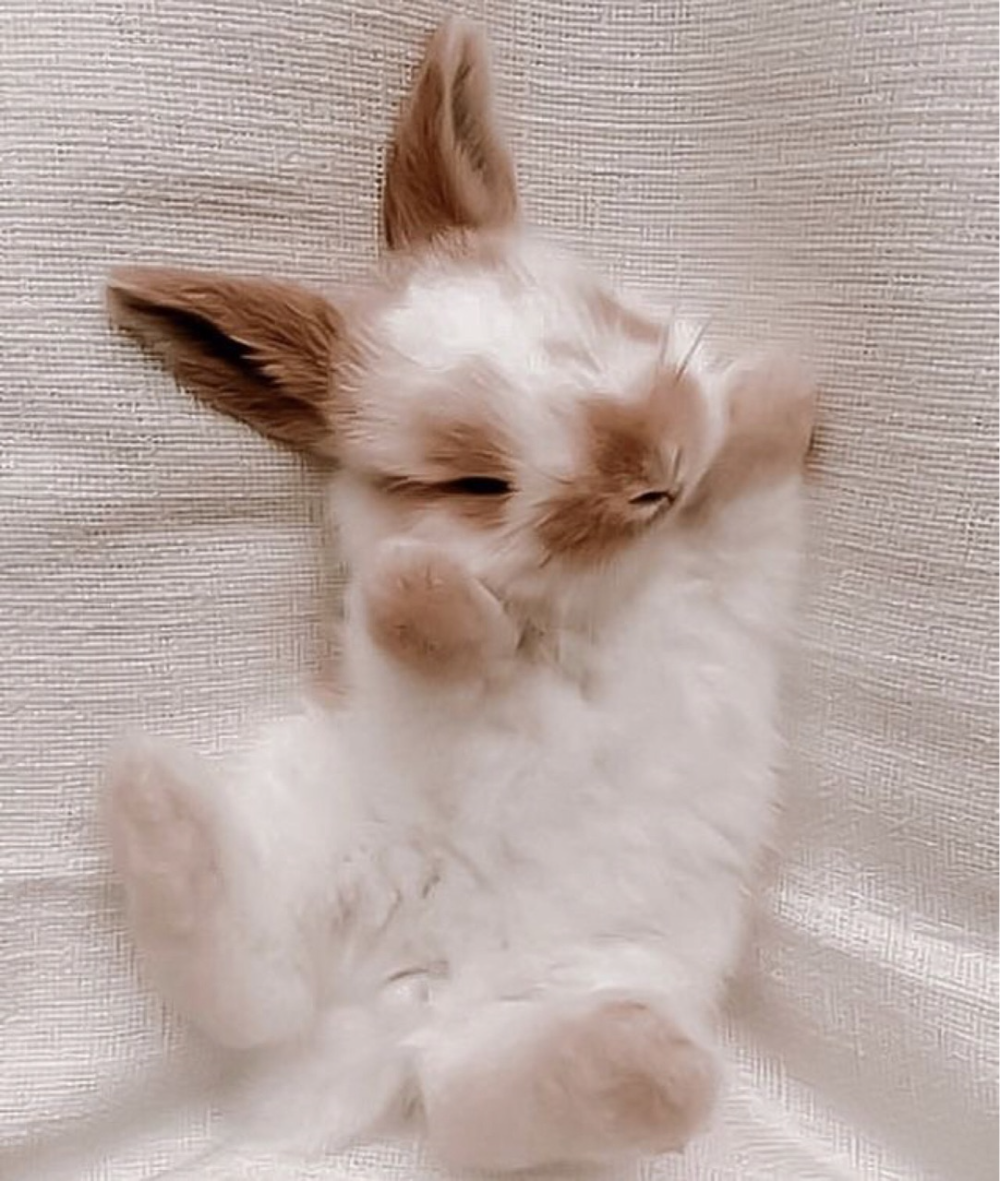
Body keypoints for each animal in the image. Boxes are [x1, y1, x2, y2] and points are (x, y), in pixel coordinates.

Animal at [104, 16, 816, 1173]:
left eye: (601, 324)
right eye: (469, 482)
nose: (650, 470)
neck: (605, 593)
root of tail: (403, 1007)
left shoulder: (741, 556)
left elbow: (750, 463)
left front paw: (775, 385)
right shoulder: (431, 653)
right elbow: (431, 634)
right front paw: (419, 579)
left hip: (598, 971)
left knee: (468, 1100)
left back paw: (642, 1059)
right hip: (314, 831)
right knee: (264, 987)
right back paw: (151, 799)